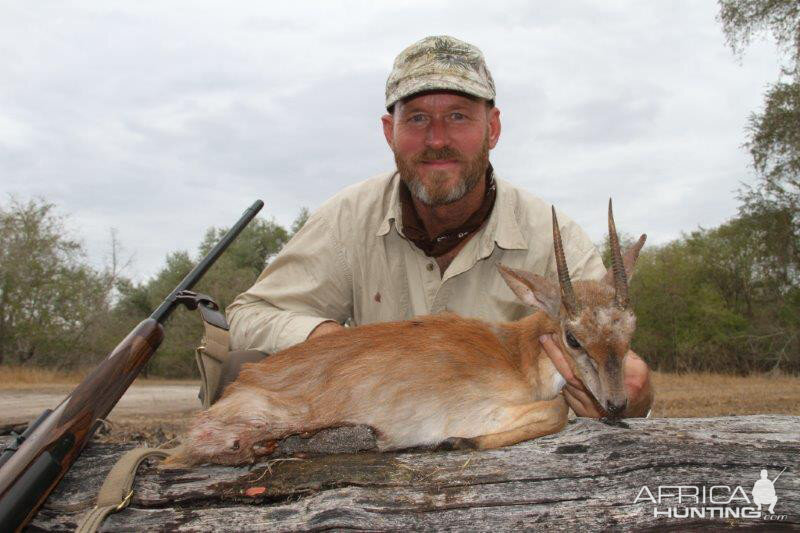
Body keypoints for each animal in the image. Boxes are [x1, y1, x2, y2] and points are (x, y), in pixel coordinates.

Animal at [167, 200, 644, 466]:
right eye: (573, 337)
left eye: (630, 328)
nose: (617, 404)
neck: (516, 353)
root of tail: (239, 385)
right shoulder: (485, 406)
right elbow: (557, 412)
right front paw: (458, 441)